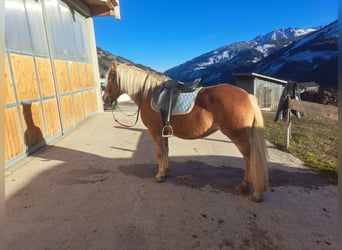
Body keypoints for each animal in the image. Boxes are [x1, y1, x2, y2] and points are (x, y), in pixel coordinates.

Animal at [103, 61, 268, 202]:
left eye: (110, 79)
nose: (105, 99)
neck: (148, 94)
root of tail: (247, 95)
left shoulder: (154, 132)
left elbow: (159, 153)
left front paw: (159, 176)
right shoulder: (163, 132)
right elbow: (165, 151)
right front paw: (166, 171)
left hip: (239, 137)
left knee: (250, 159)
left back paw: (253, 192)